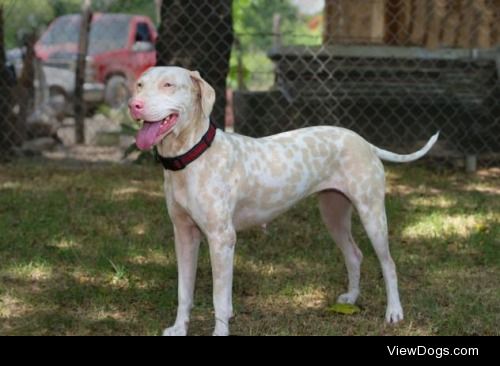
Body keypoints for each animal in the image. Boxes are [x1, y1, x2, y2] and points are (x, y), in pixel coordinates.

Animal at [128, 67, 438, 336]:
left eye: (168, 85)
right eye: (140, 85)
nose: (134, 105)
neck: (193, 156)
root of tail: (364, 141)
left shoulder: (221, 240)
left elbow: (219, 298)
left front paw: (220, 331)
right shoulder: (184, 236)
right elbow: (184, 292)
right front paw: (179, 329)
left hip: (372, 215)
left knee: (389, 264)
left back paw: (394, 312)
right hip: (334, 214)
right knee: (354, 254)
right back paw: (351, 297)